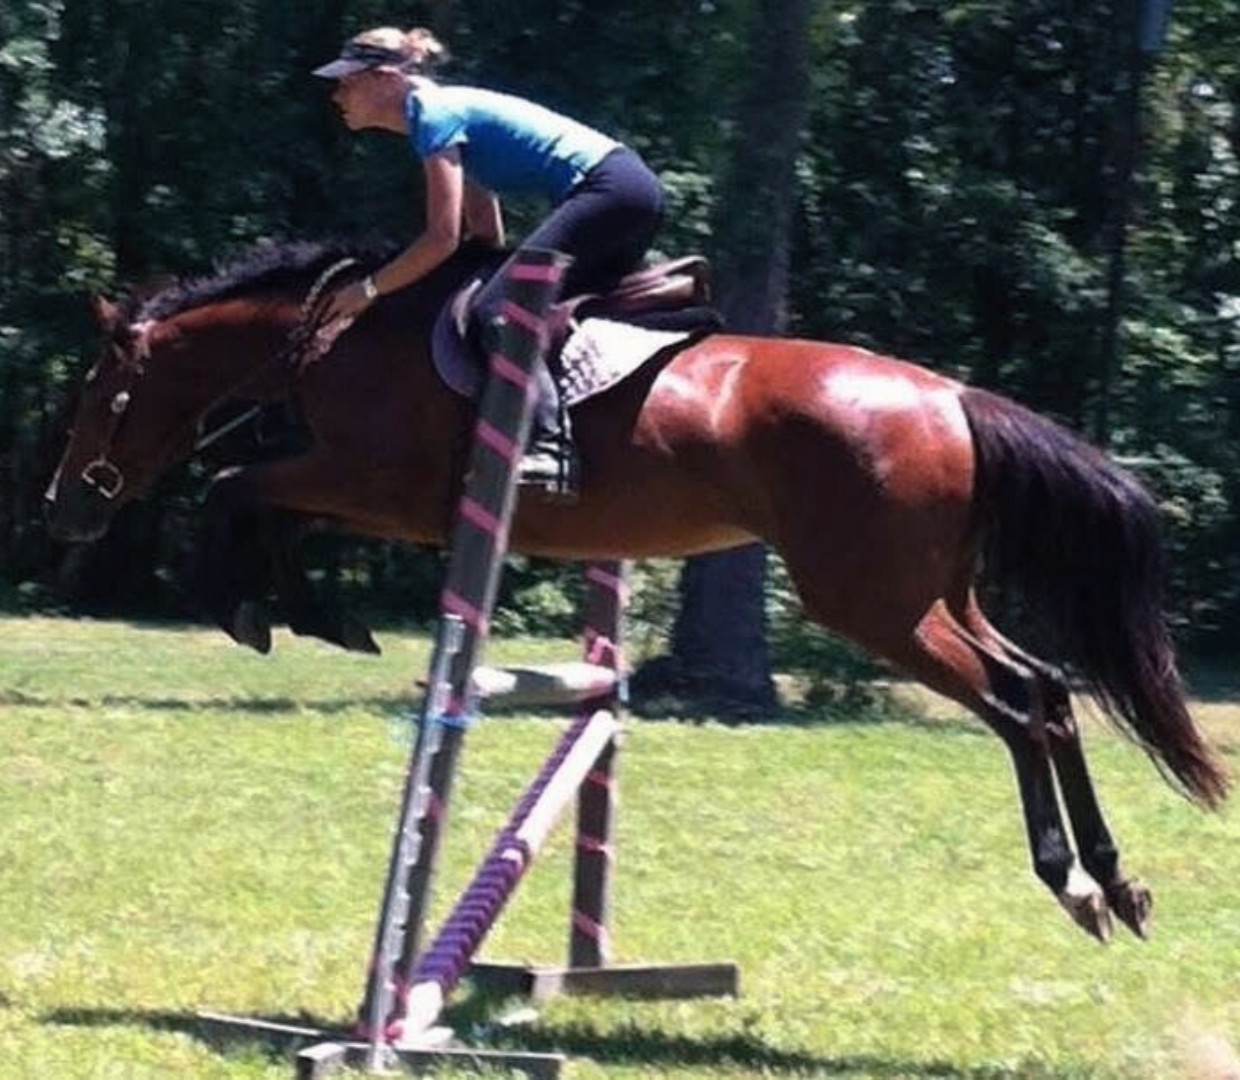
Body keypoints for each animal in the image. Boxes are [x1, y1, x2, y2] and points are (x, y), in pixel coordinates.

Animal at [45, 239, 1229, 943]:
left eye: (102, 391)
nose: (63, 508)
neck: (338, 334)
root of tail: (949, 398)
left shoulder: (373, 486)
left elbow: (235, 488)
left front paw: (274, 611)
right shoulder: (365, 492)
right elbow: (253, 499)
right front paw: (305, 613)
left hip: (871, 605)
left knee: (1018, 706)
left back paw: (1070, 881)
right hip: (934, 596)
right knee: (1051, 689)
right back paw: (1115, 879)